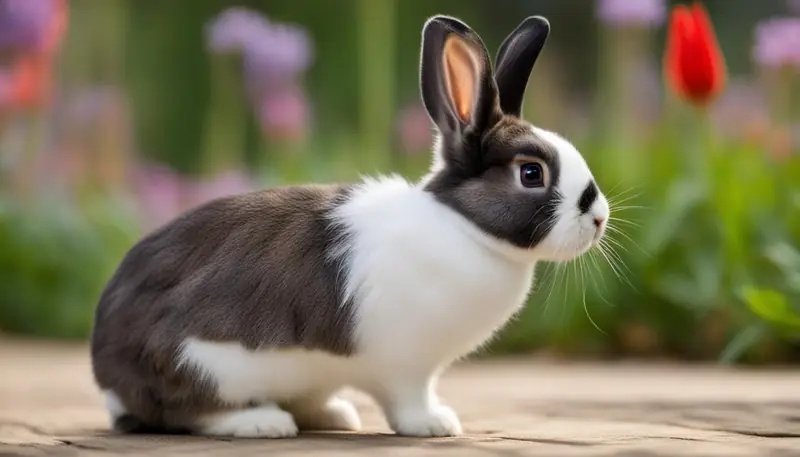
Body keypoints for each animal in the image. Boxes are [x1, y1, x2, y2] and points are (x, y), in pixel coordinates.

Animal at [91, 14, 610, 439]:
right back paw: (262, 422)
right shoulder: (406, 367)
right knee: (186, 412)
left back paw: (332, 413)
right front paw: (435, 424)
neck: (462, 227)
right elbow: (409, 399)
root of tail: (108, 371)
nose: (600, 217)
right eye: (531, 173)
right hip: (202, 364)